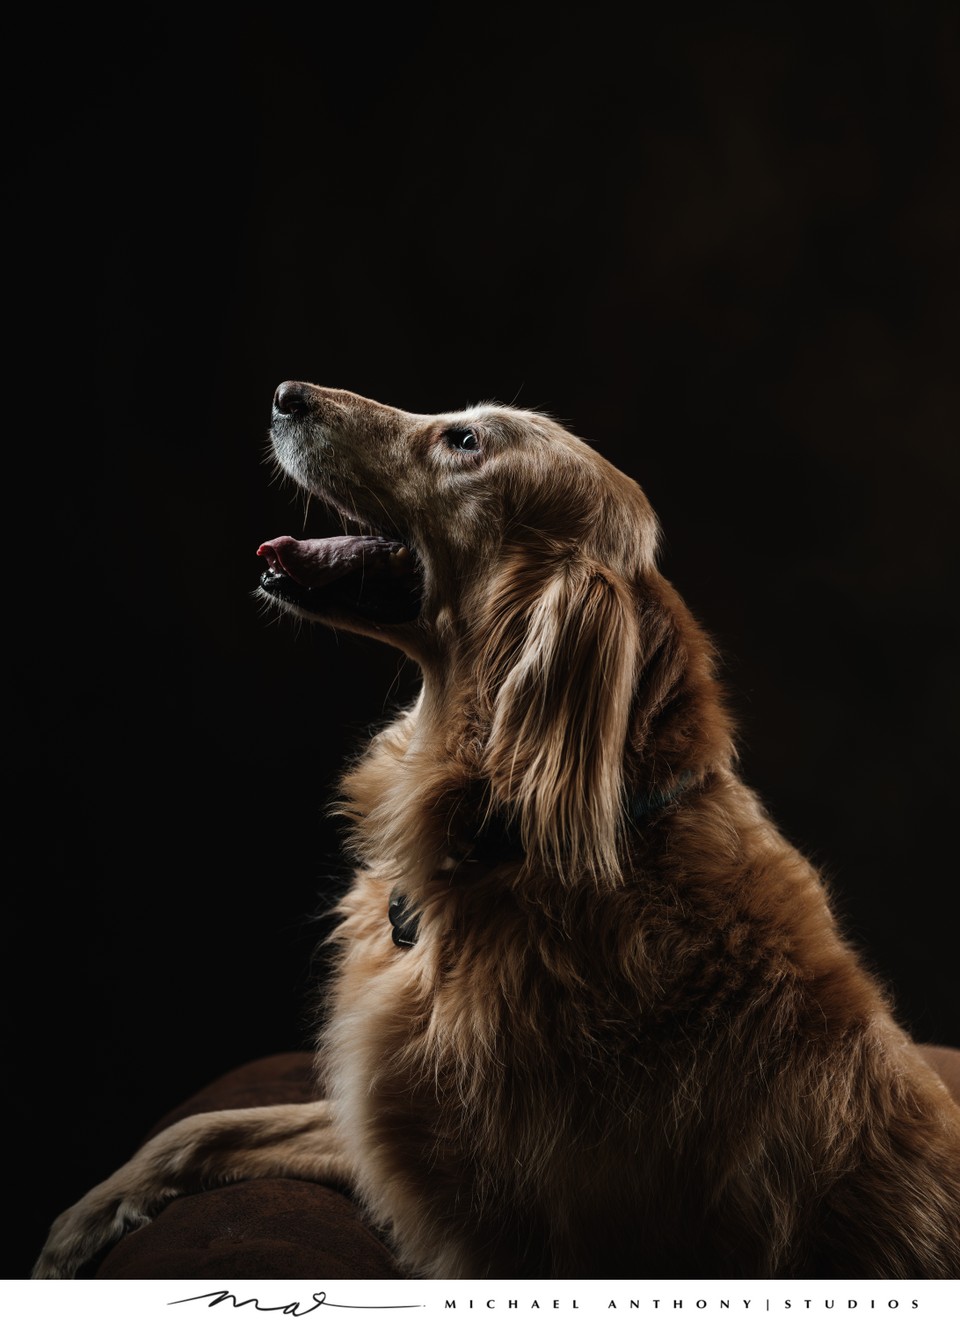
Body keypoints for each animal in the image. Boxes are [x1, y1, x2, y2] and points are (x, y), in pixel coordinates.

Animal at [33, 382, 960, 1273]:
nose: (285, 394)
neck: (501, 846)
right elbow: (204, 1126)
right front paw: (79, 1224)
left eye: (466, 441)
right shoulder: (382, 1131)